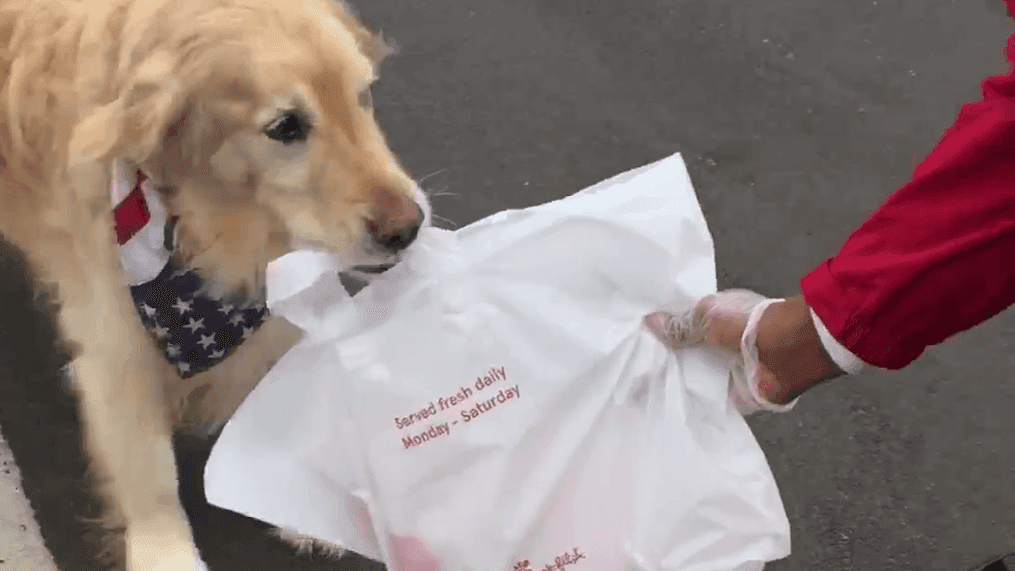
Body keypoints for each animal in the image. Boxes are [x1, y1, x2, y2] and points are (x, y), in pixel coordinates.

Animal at [0, 0, 428, 567]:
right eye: (286, 126)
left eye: (363, 96)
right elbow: (148, 467)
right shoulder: (112, 330)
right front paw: (165, 552)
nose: (408, 228)